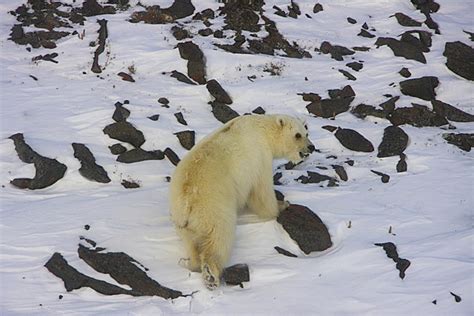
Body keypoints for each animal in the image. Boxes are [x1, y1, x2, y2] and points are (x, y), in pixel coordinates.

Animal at [169, 113, 314, 288]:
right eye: (297, 135)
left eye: (307, 133)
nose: (311, 147)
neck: (263, 129)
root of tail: (186, 199)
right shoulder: (260, 157)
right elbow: (262, 190)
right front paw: (281, 205)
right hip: (213, 207)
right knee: (219, 236)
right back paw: (211, 275)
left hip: (182, 220)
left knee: (190, 241)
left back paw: (188, 262)